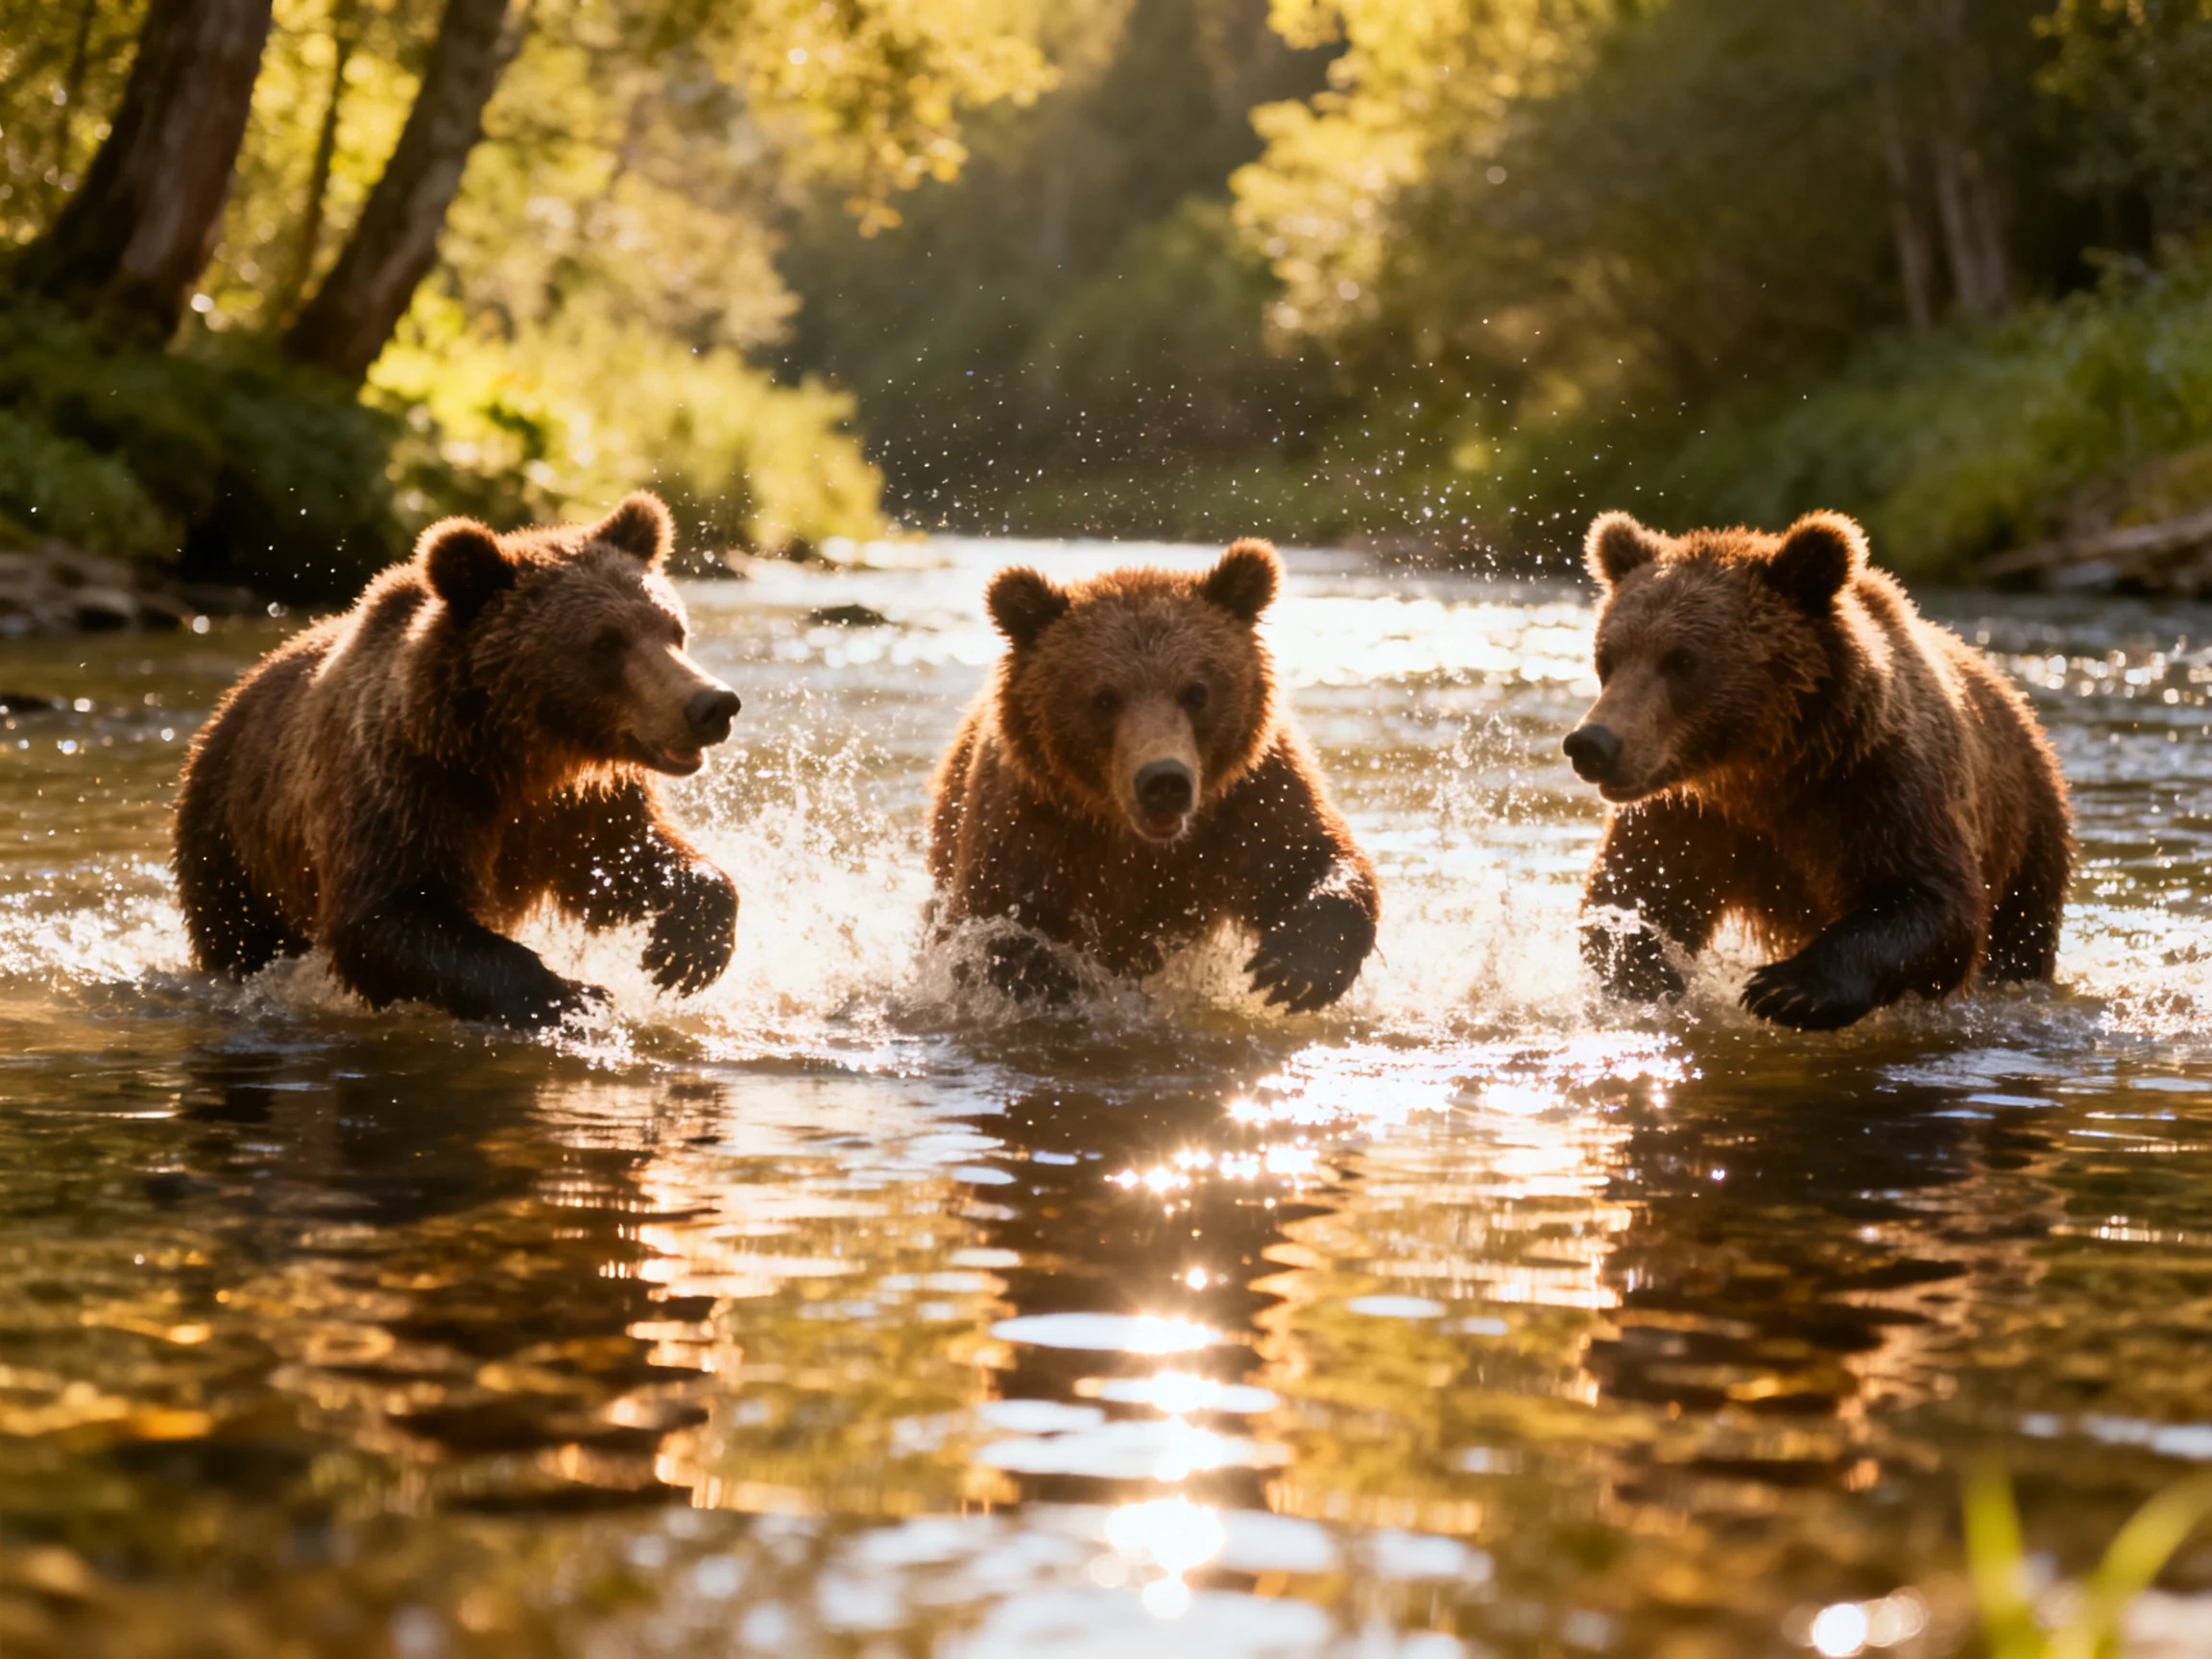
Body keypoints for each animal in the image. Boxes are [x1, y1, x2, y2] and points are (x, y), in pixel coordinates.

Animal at [172, 492, 743, 1028]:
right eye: (605, 643)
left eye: (674, 629)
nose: (711, 704)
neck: (519, 749)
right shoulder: (407, 785)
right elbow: (387, 915)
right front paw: (573, 996)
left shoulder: (579, 804)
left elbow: (625, 860)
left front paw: (683, 951)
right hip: (233, 841)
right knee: (236, 932)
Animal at [927, 540, 1380, 1013]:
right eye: (1103, 697)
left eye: (1197, 692)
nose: (1164, 781)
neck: (1132, 837)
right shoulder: (1029, 819)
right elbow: (993, 922)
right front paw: (1052, 977)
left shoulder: (1245, 799)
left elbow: (1305, 852)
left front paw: (1295, 967)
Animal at [1563, 509, 2072, 1031]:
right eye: (1608, 656)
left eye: (1682, 660)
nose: (1593, 743)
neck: (1762, 768)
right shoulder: (1686, 814)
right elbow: (1631, 894)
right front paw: (1649, 978)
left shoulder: (1879, 786)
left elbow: (1935, 900)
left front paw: (1788, 989)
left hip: (2028, 832)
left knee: (2019, 932)